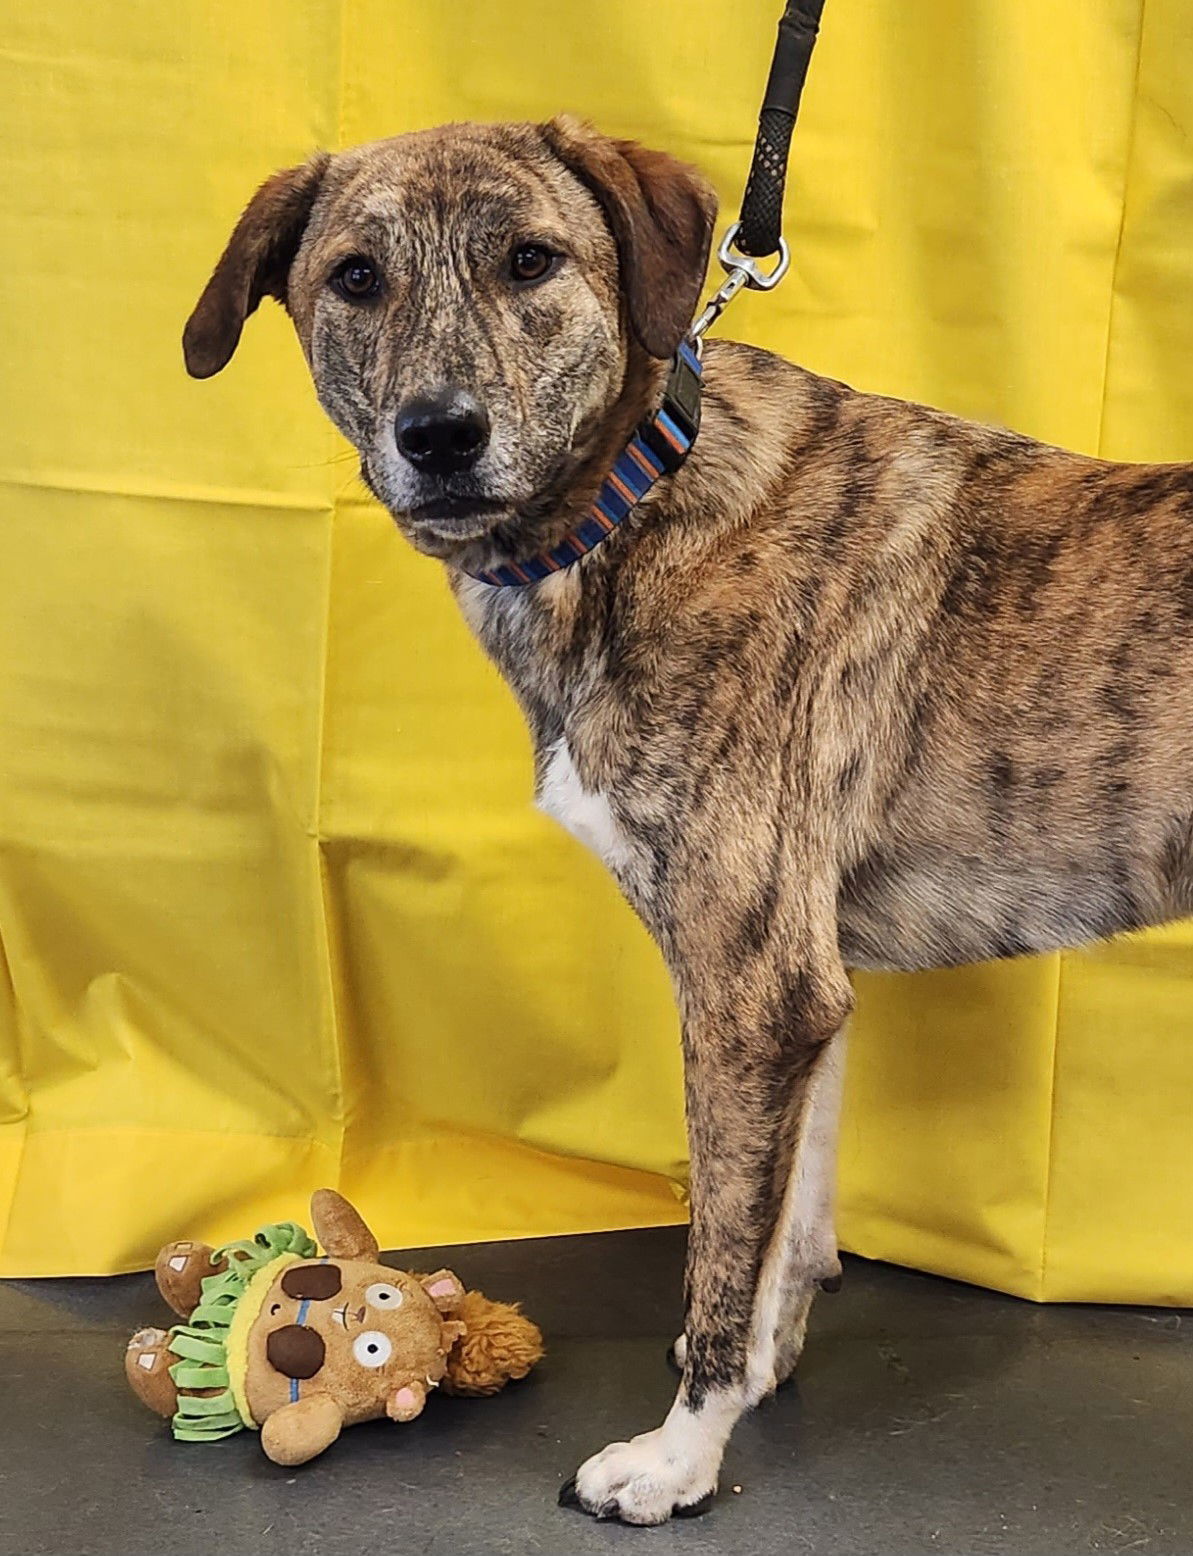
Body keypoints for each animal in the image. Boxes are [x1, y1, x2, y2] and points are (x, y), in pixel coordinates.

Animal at [181, 118, 1193, 1518]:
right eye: (354, 278)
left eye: (530, 259)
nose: (439, 434)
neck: (636, 506)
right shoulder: (808, 985)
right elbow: (783, 1232)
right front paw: (762, 1370)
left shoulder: (749, 981)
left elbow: (720, 1245)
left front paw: (676, 1457)